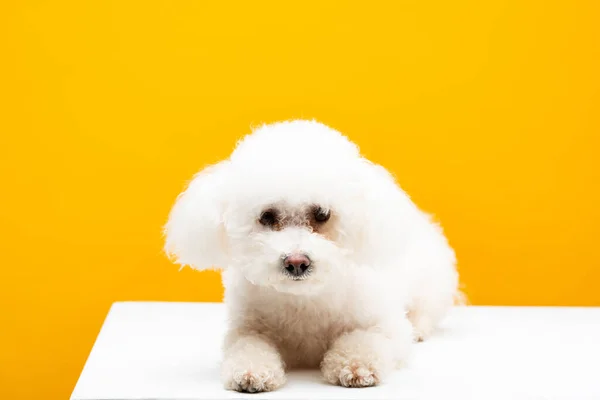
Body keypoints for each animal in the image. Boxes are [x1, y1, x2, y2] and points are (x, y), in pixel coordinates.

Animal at [164, 120, 460, 392]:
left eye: (322, 214)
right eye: (267, 216)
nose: (296, 263)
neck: (304, 300)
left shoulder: (385, 325)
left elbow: (365, 340)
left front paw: (355, 366)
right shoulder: (246, 328)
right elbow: (248, 346)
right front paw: (251, 372)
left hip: (430, 285)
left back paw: (419, 329)